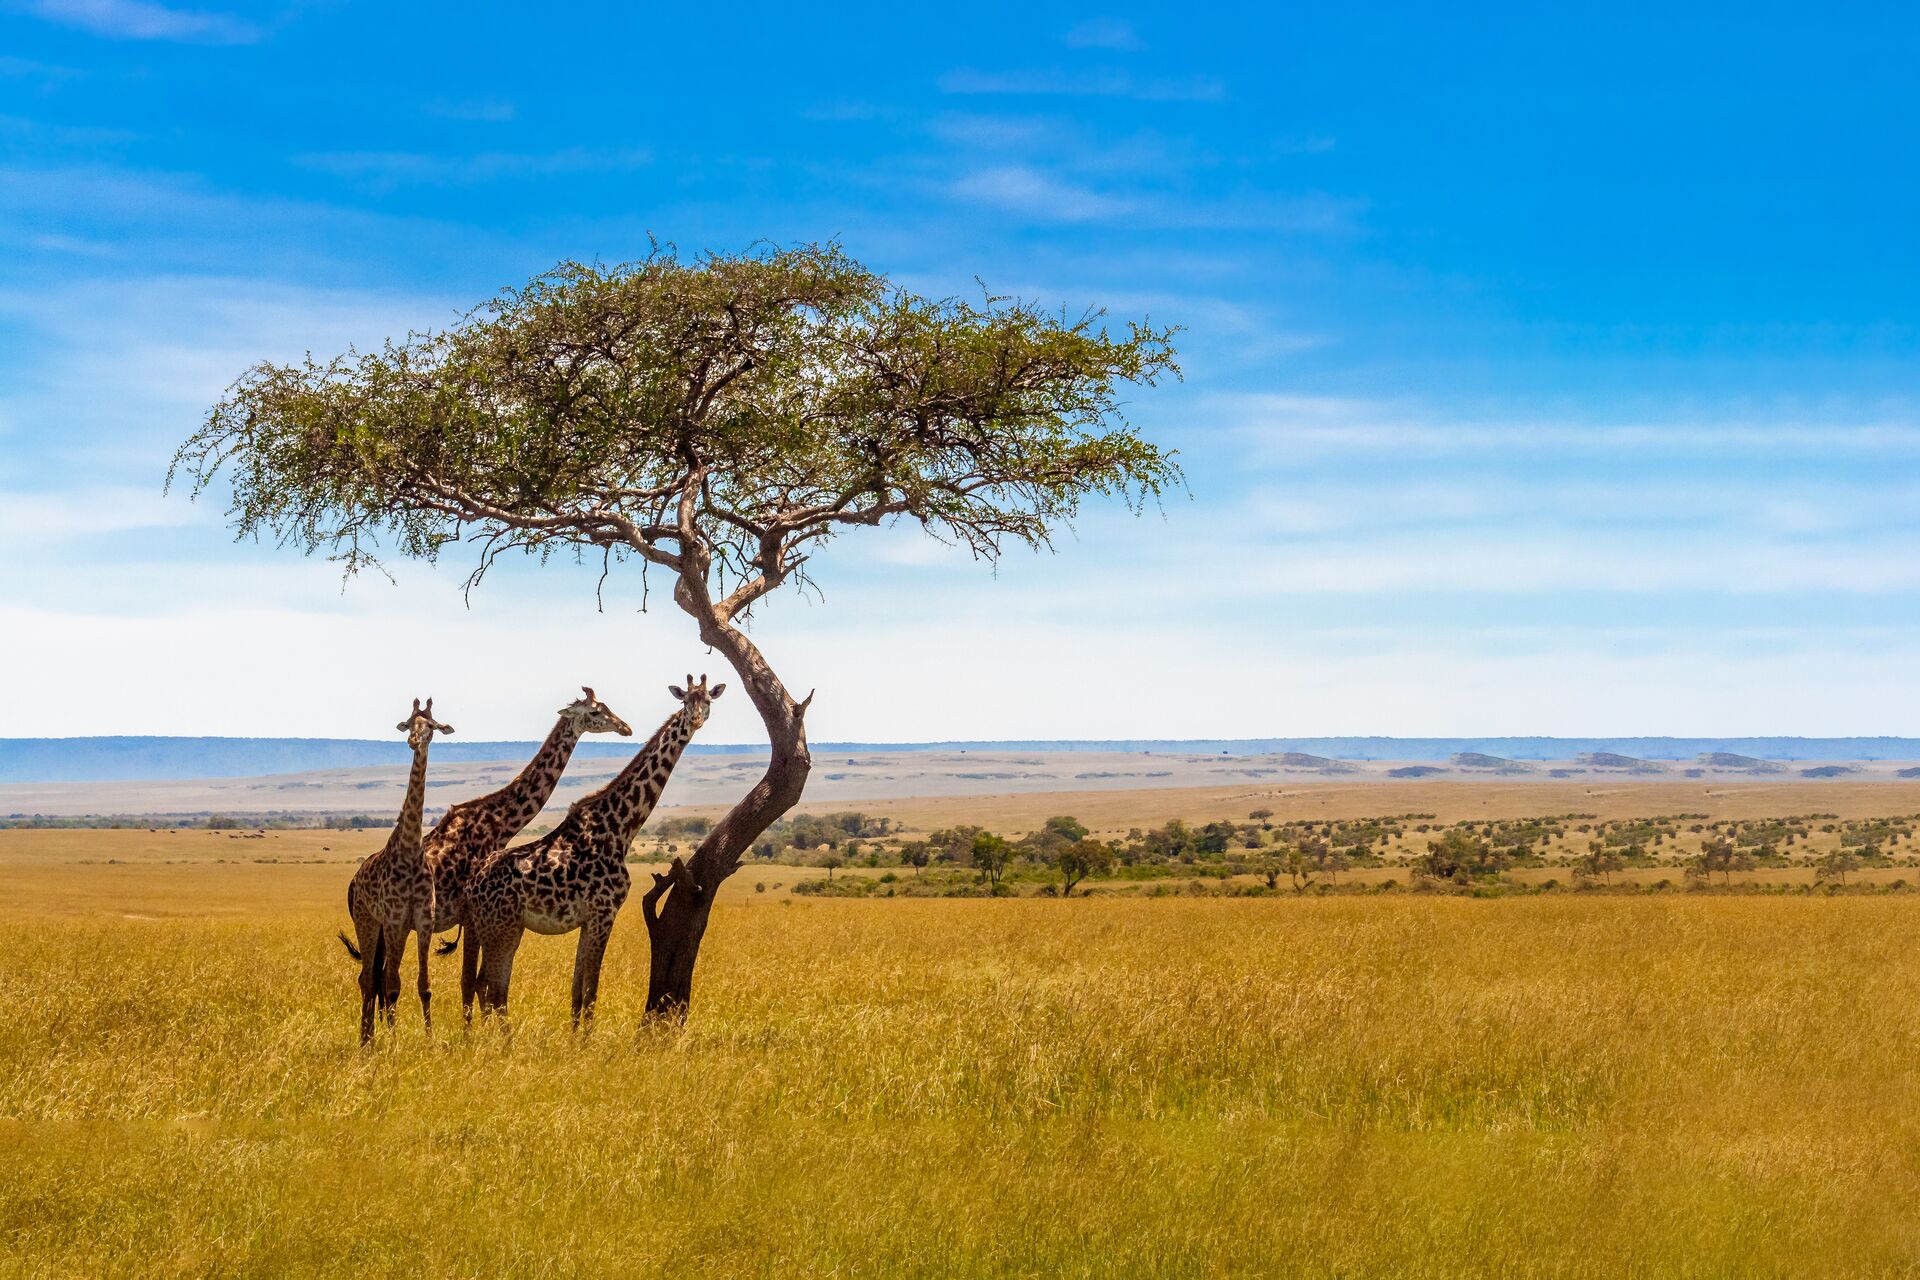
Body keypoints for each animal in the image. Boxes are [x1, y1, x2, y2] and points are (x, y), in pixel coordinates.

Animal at [336, 697, 455, 1046]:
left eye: (431, 726)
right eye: (408, 723)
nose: (414, 741)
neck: (410, 850)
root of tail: (353, 882)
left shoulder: (422, 920)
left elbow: (423, 985)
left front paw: (429, 1041)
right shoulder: (392, 918)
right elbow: (391, 985)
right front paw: (393, 1041)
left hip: (389, 929)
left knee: (378, 976)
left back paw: (371, 1037)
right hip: (367, 921)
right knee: (369, 978)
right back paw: (367, 1041)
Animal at [419, 688, 635, 1025]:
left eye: (608, 707)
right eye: (595, 713)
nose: (625, 727)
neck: (499, 820)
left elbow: (480, 983)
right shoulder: (471, 915)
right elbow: (471, 981)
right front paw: (474, 1035)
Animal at [464, 675, 724, 1027]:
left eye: (707, 700)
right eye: (685, 701)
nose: (695, 720)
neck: (621, 827)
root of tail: (471, 886)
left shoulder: (588, 920)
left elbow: (577, 991)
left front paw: (575, 1037)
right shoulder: (605, 912)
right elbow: (591, 990)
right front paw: (587, 1039)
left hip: (499, 927)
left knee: (486, 986)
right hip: (501, 926)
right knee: (492, 989)